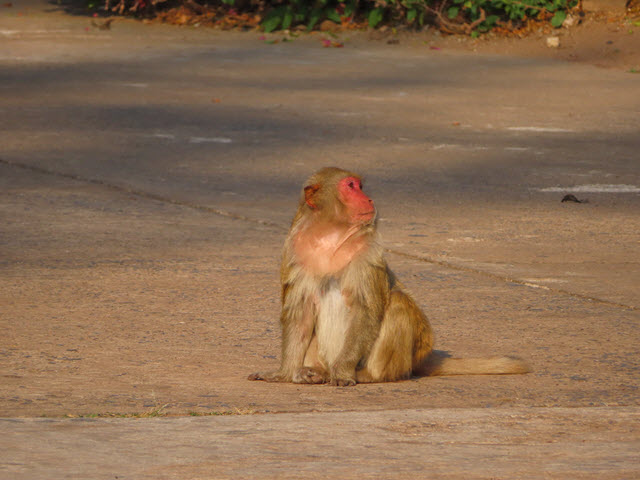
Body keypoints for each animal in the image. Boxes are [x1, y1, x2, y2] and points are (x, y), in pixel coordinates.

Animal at [248, 167, 529, 386]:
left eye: (359, 186)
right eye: (351, 186)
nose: (369, 199)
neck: (330, 234)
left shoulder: (367, 250)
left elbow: (366, 309)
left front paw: (343, 372)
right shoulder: (294, 251)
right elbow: (301, 312)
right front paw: (283, 374)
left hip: (400, 359)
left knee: (397, 304)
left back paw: (368, 375)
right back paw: (316, 372)